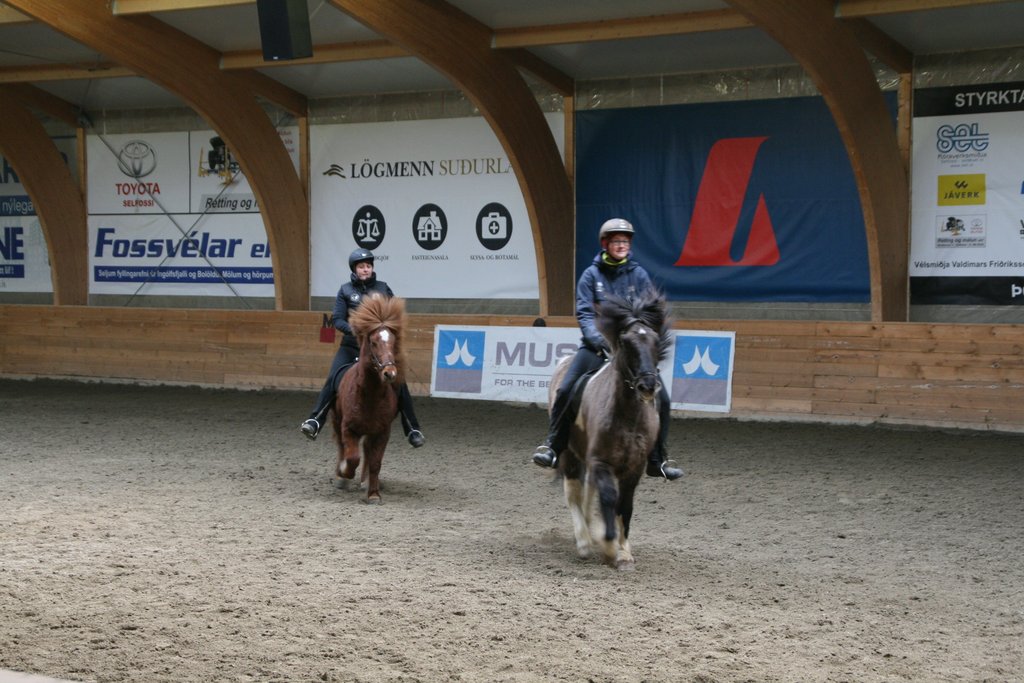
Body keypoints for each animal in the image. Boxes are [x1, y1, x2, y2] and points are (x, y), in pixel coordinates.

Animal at [331, 294, 406, 504]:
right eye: (373, 342)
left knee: (366, 450)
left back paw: (365, 482)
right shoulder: (348, 428)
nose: (390, 373)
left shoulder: (382, 432)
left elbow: (375, 462)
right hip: (336, 420)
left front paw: (373, 493)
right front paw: (344, 473)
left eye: (393, 342)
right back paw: (341, 476)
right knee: (342, 447)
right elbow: (352, 457)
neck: (369, 395)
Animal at [549, 290, 672, 570]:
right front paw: (608, 545)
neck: (627, 417)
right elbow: (607, 497)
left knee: (587, 490)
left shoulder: (634, 467)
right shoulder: (601, 461)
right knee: (573, 492)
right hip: (569, 453)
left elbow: (624, 506)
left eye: (655, 341)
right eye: (626, 343)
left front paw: (624, 552)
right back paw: (584, 541)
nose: (648, 386)